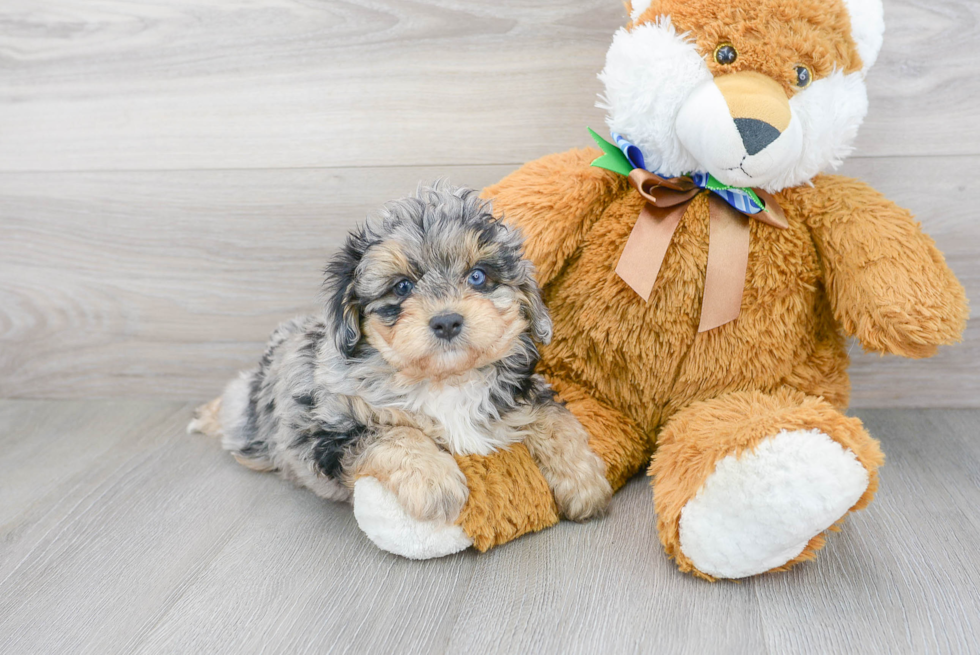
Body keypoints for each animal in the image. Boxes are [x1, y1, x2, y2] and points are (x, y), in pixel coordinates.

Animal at [188, 183, 608, 552]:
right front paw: (436, 481)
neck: (444, 380)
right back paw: (204, 415)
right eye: (402, 287)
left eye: (478, 276)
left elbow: (555, 419)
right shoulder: (325, 431)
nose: (447, 321)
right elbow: (394, 434)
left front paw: (584, 482)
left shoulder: (520, 391)